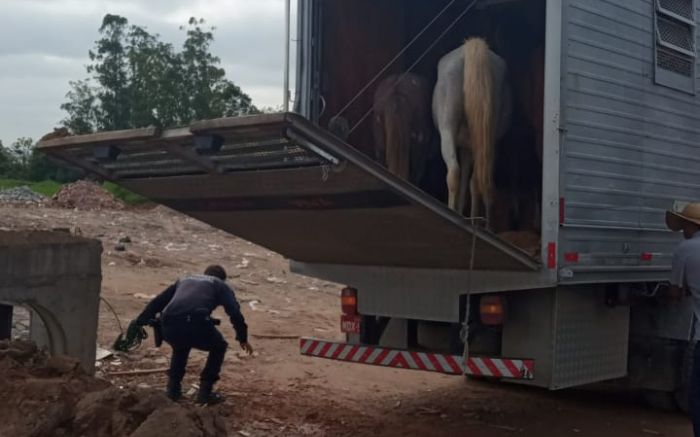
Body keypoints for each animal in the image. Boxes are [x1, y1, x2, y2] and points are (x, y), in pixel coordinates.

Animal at [434, 36, 512, 221]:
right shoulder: (470, 148)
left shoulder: (465, 147)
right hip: (487, 142)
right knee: (477, 180)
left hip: (447, 131)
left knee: (455, 172)